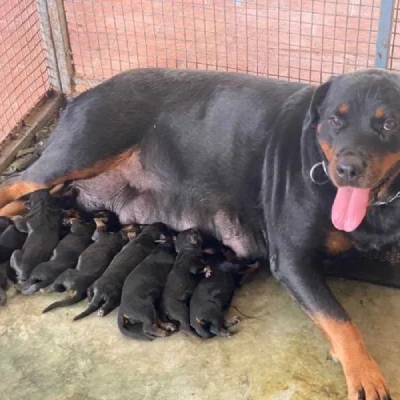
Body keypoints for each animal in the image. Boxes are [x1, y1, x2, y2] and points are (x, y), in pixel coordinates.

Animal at [0, 68, 400, 396]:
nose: (348, 168)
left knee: (30, 200)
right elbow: (340, 319)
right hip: (81, 150)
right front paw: (365, 375)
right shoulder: (292, 259)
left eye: (388, 125)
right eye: (335, 120)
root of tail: (84, 94)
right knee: (15, 185)